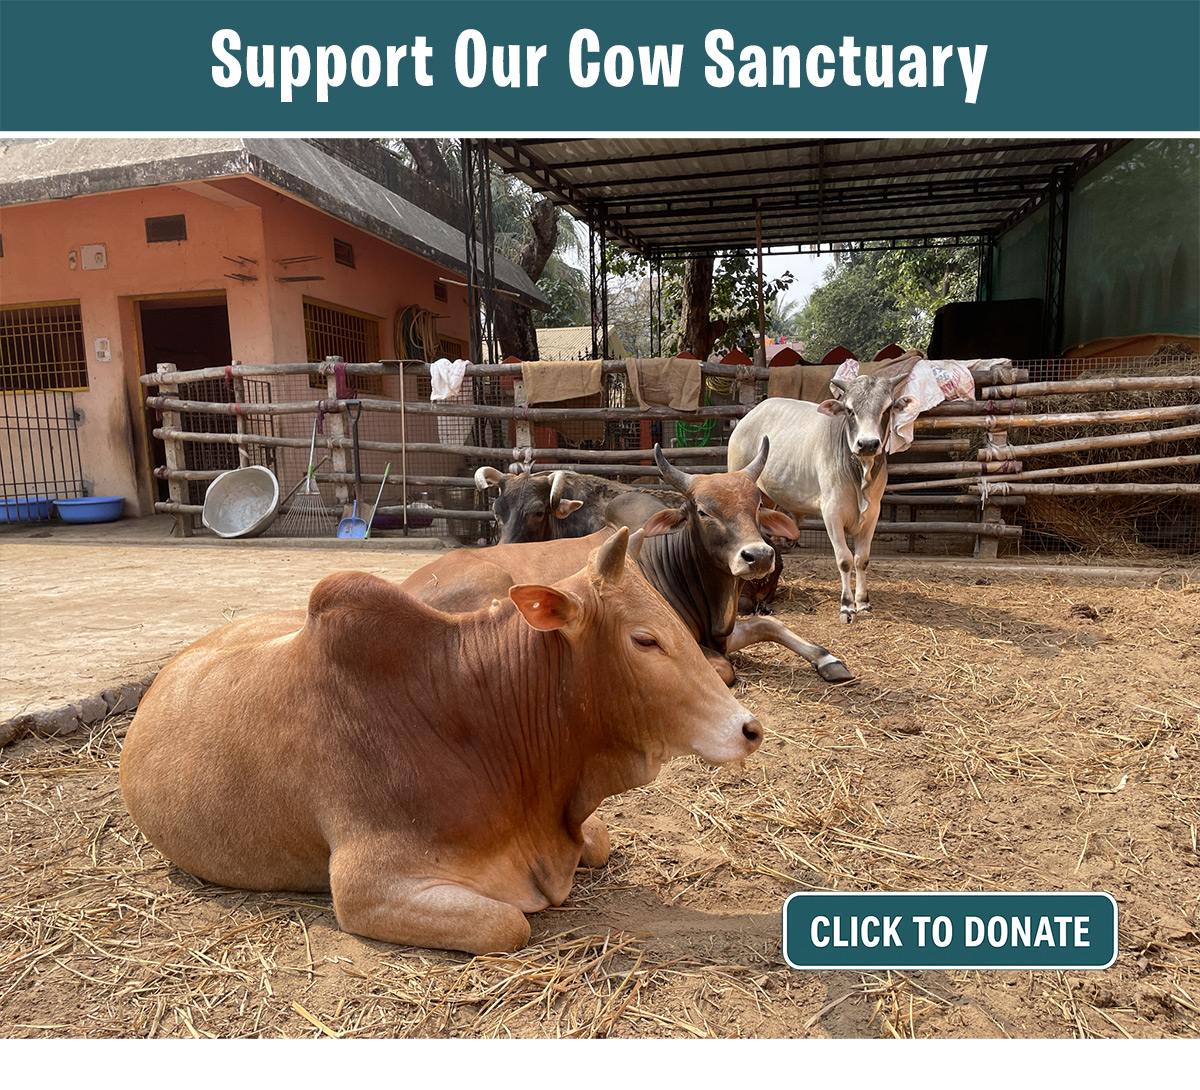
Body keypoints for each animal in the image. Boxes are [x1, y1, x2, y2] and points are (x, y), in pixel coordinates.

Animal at [410, 443, 854, 685]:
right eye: (702, 510)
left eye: (757, 507)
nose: (758, 556)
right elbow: (723, 668)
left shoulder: (724, 632)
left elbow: (769, 625)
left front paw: (828, 659)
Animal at [727, 374, 917, 623]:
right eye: (849, 410)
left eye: (887, 409)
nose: (867, 444)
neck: (860, 475)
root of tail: (753, 413)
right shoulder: (832, 513)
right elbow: (845, 559)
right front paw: (847, 607)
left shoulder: (873, 513)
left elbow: (862, 559)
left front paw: (863, 602)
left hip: (767, 498)